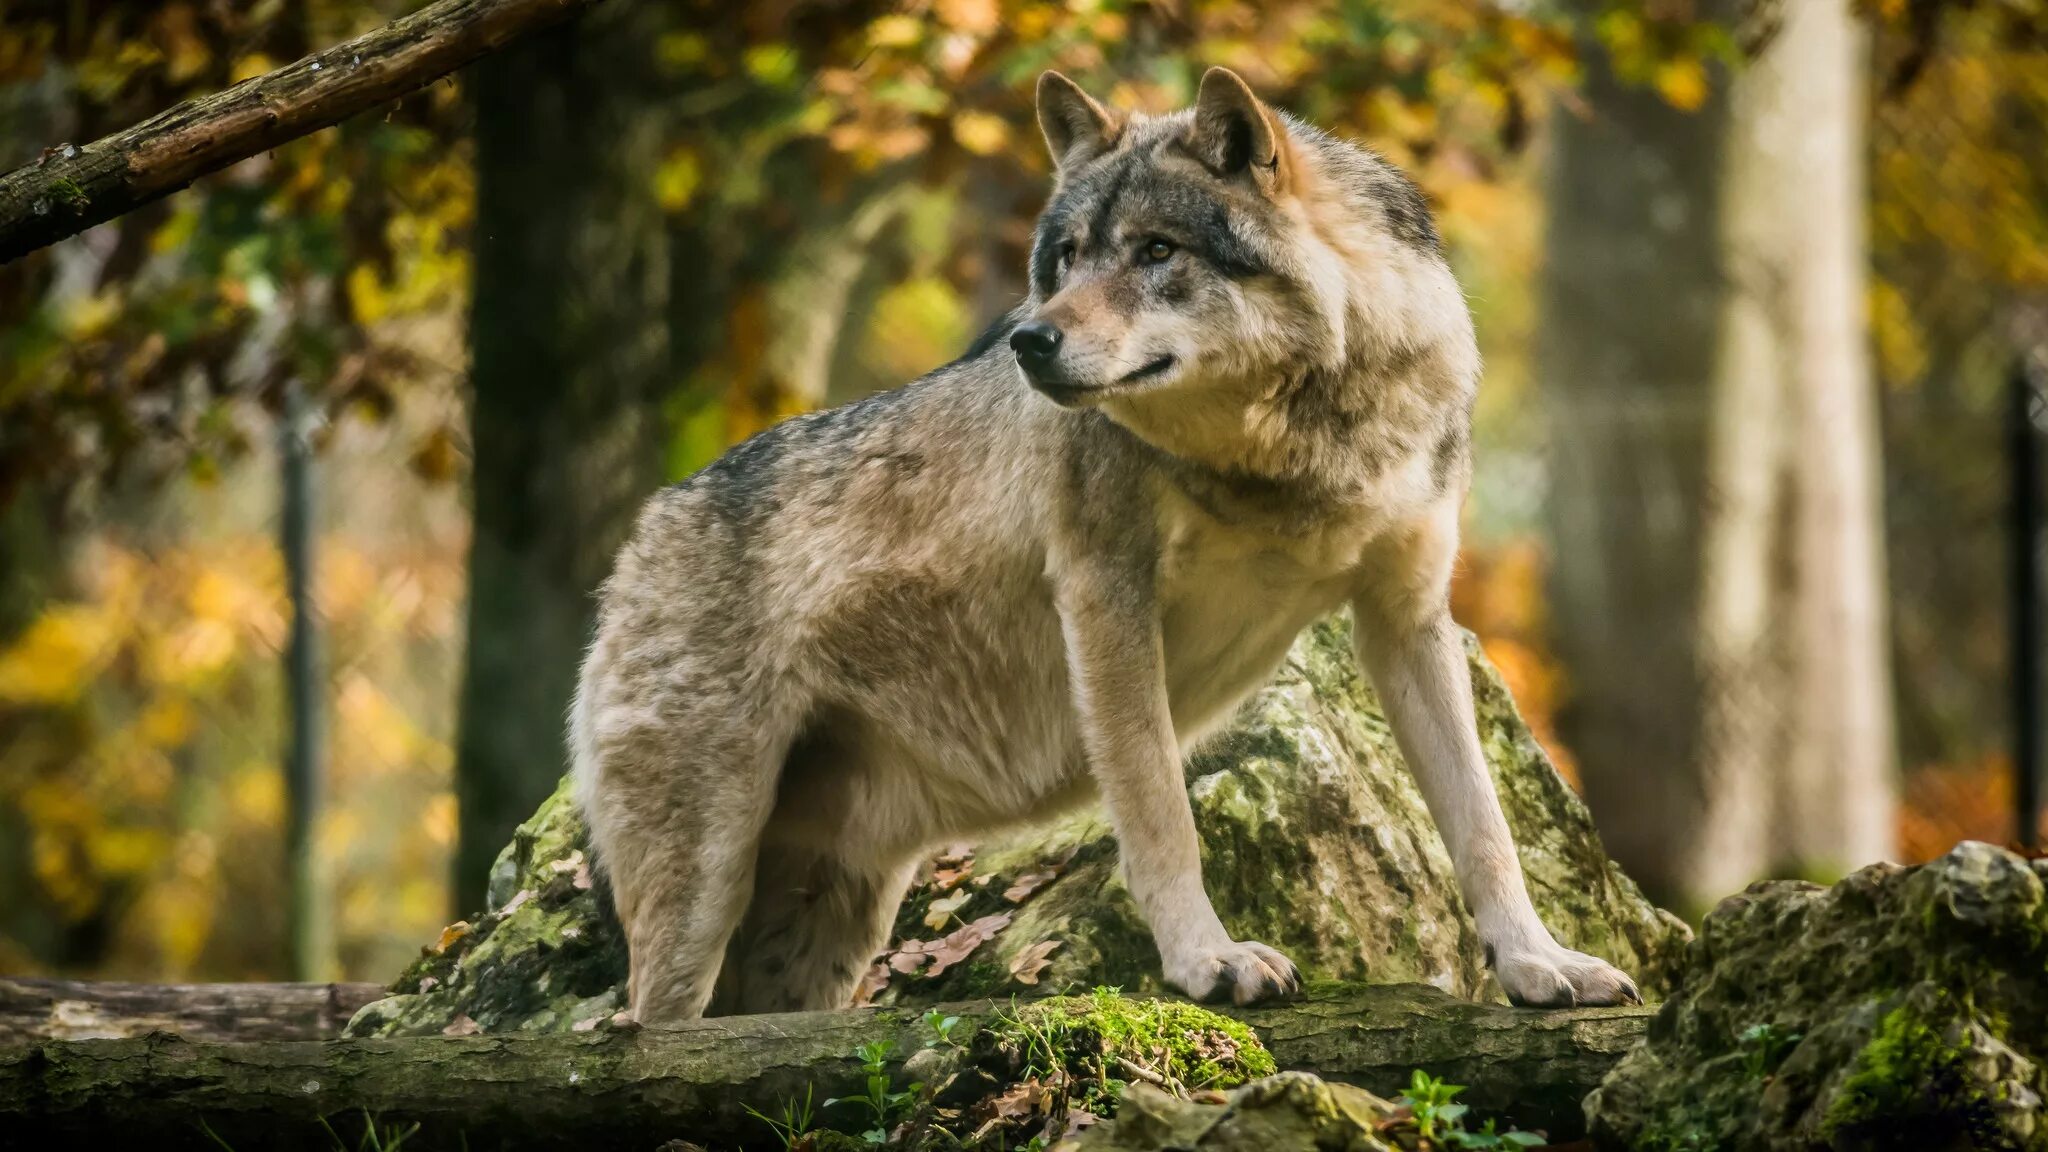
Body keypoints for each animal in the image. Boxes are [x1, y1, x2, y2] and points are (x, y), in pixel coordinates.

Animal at [569, 67, 1638, 1016]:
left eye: (1156, 251)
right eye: (1071, 256)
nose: (1028, 340)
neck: (1289, 455)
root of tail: (639, 539)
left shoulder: (1408, 621)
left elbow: (1485, 824)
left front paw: (1541, 965)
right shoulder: (1106, 600)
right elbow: (1162, 813)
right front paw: (1208, 963)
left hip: (827, 924)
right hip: (706, 892)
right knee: (650, 1027)